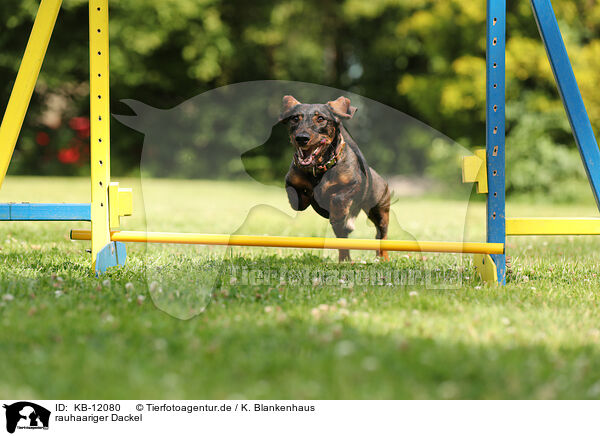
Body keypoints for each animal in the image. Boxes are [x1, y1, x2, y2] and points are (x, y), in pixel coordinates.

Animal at [278, 96, 392, 262]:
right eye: (295, 119)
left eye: (320, 118)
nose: (302, 138)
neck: (318, 170)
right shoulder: (291, 182)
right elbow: (297, 200)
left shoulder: (353, 184)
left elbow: (339, 197)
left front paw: (338, 211)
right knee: (343, 240)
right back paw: (345, 259)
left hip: (379, 211)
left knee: (381, 235)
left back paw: (382, 257)